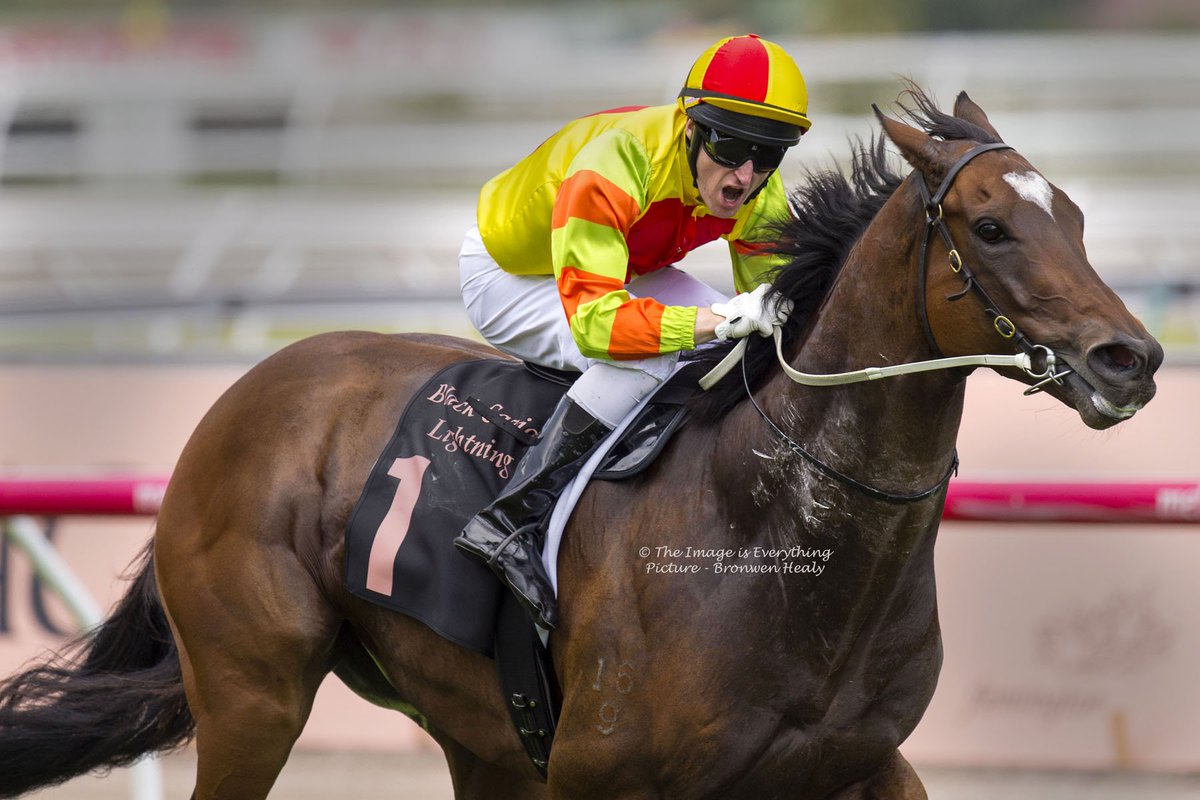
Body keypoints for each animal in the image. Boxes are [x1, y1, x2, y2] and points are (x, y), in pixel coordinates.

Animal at [0, 86, 1162, 799]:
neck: (776, 538)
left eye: (1075, 216)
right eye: (992, 227)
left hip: (476, 731)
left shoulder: (858, 764)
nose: (1132, 358)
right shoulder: (602, 772)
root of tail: (239, 399)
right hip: (255, 691)